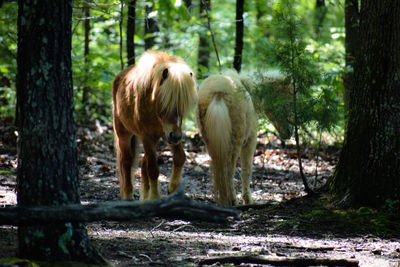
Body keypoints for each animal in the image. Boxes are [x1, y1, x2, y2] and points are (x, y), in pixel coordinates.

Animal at [112, 50, 197, 201]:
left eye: (183, 105)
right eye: (165, 102)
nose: (176, 136)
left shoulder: (166, 134)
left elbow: (180, 157)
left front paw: (173, 188)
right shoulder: (147, 137)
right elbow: (152, 169)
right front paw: (155, 197)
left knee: (142, 162)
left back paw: (144, 196)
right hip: (124, 134)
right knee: (126, 161)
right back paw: (128, 195)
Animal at [196, 70, 258, 206]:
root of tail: (218, 91)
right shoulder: (250, 140)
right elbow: (246, 170)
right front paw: (248, 201)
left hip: (210, 139)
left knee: (218, 166)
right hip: (236, 140)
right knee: (229, 169)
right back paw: (233, 200)